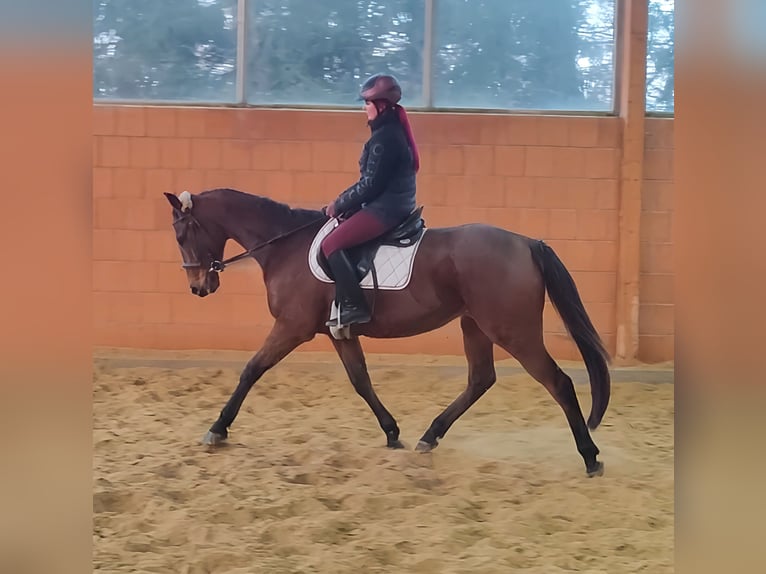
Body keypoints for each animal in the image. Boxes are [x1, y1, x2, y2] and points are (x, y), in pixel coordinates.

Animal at [164, 188, 612, 476]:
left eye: (183, 234)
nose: (199, 287)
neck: (285, 247)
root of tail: (527, 243)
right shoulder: (339, 333)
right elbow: (361, 380)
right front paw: (392, 433)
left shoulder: (291, 328)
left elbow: (251, 371)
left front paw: (217, 429)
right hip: (475, 326)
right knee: (480, 379)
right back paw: (429, 436)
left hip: (513, 331)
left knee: (558, 383)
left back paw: (591, 457)